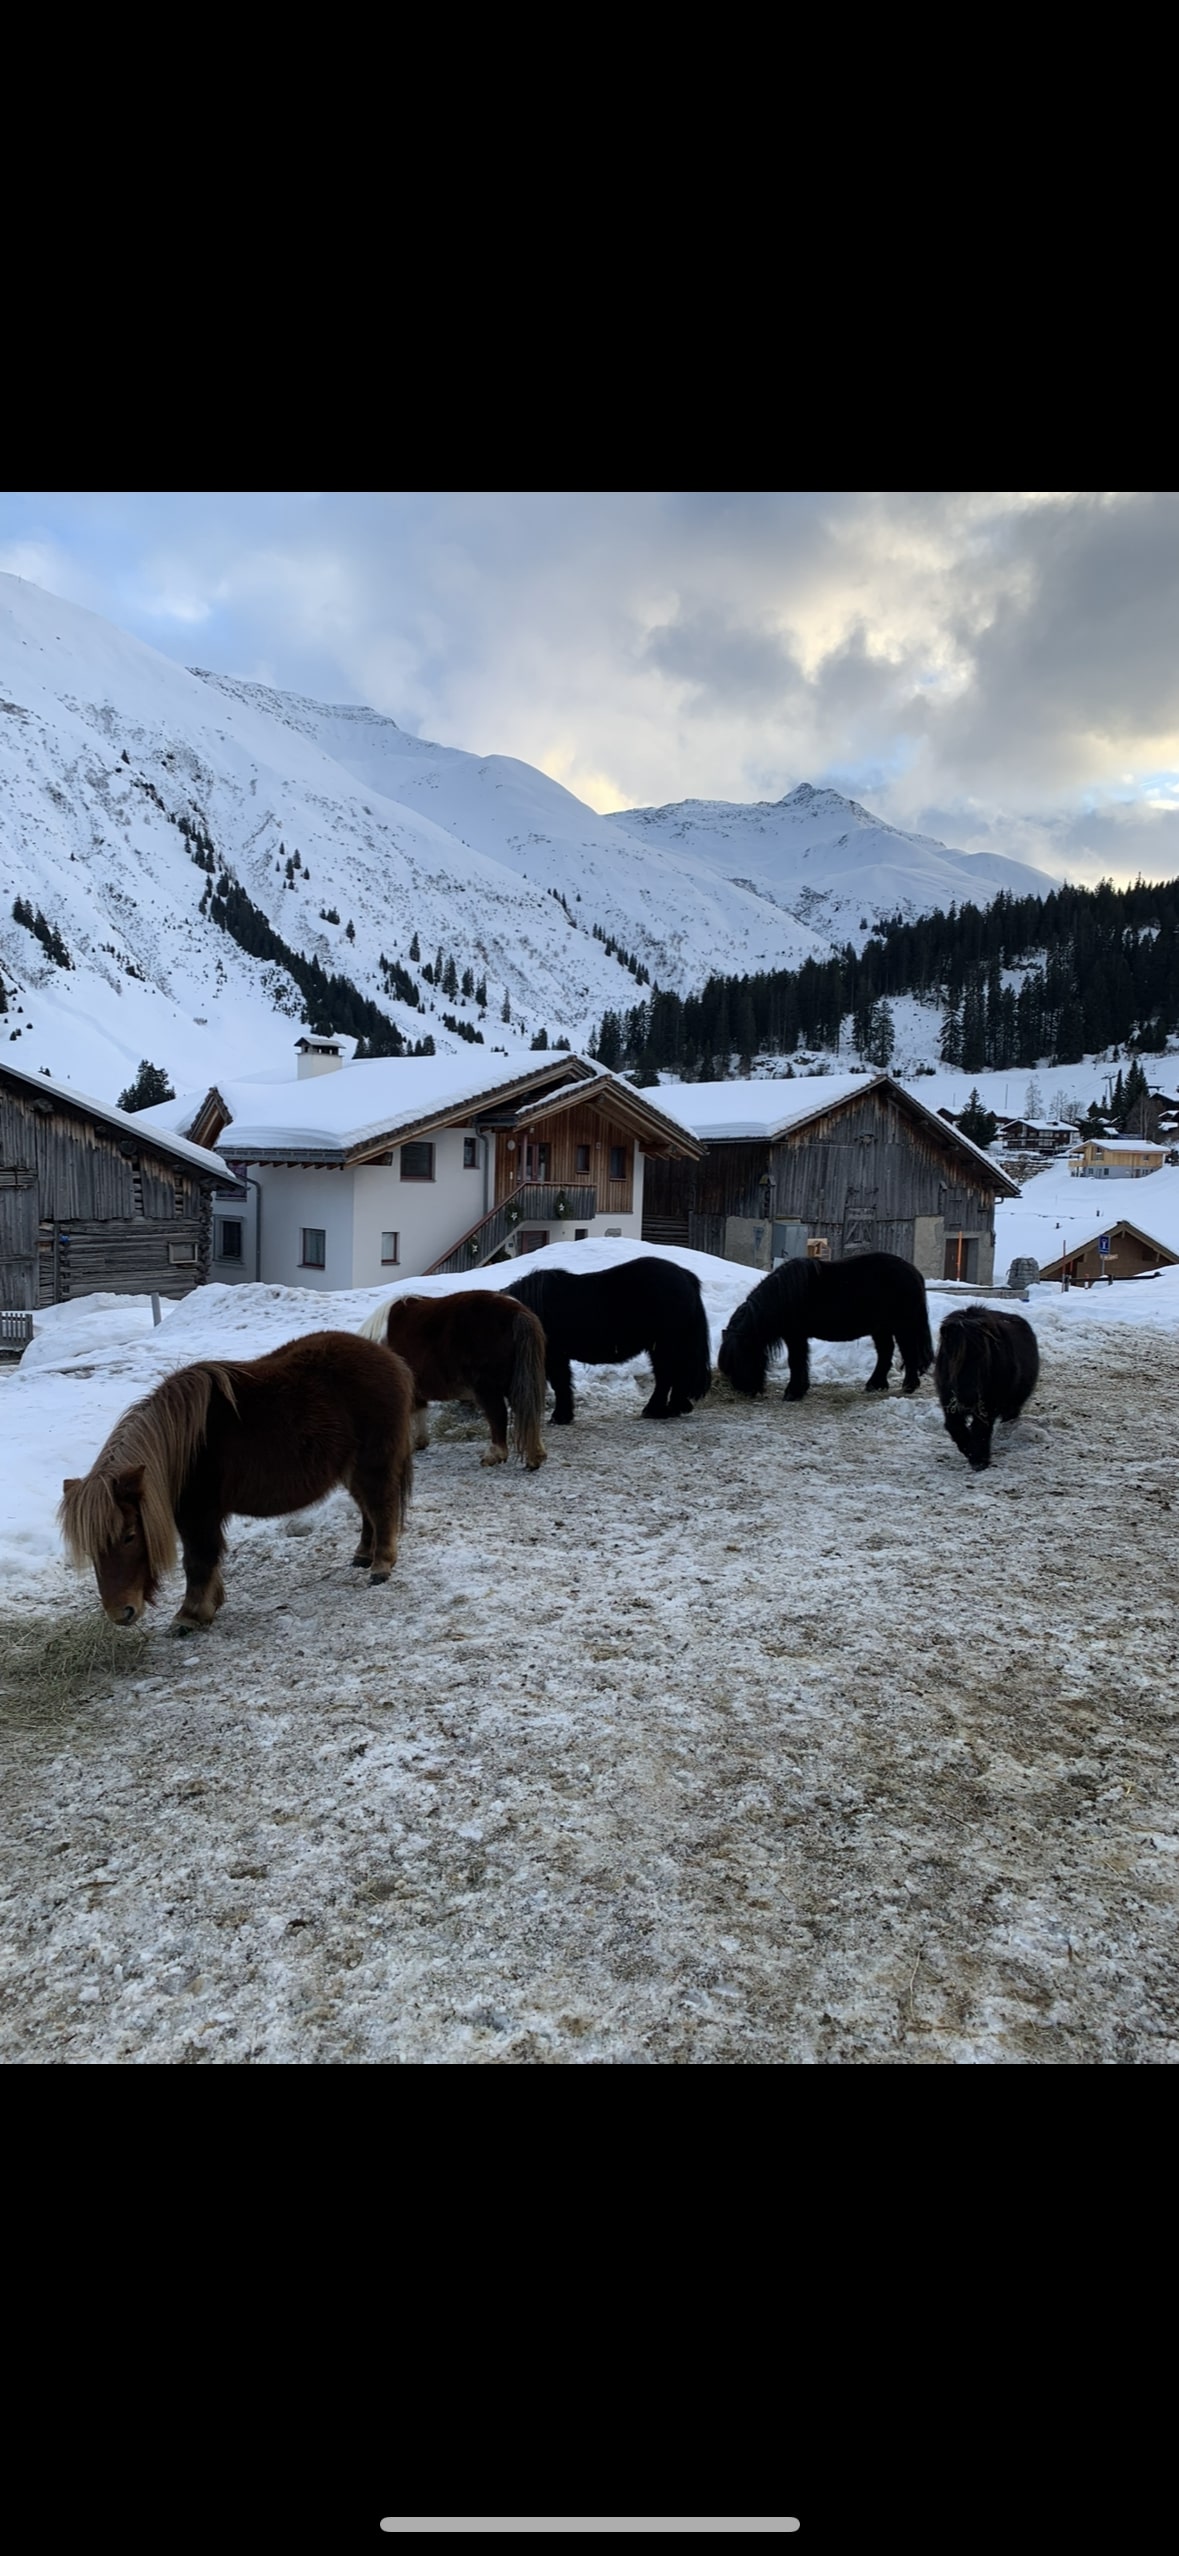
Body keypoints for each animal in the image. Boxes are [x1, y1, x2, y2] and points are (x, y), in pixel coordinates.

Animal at [59, 1331, 418, 1633]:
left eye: (130, 1536)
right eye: (90, 1547)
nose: (121, 1613)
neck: (184, 1448)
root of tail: (388, 1357)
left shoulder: (199, 1514)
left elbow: (198, 1560)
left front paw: (190, 1615)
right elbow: (208, 1559)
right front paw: (208, 1607)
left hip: (374, 1462)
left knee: (381, 1506)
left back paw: (381, 1566)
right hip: (350, 1467)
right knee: (367, 1508)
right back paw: (363, 1555)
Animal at [359, 1289, 548, 1469]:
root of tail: (516, 1310)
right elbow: (419, 1411)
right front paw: (420, 1442)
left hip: (488, 1388)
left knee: (498, 1415)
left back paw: (495, 1455)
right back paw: (535, 1457)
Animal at [502, 1255, 712, 1424]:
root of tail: (685, 1276)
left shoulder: (554, 1356)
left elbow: (560, 1384)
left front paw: (560, 1417)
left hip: (664, 1346)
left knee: (667, 1376)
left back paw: (655, 1410)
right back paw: (674, 1407)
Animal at [717, 1250, 934, 1402]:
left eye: (742, 1358)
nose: (745, 1390)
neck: (783, 1296)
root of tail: (914, 1272)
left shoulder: (795, 1336)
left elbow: (796, 1361)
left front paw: (793, 1393)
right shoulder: (797, 1337)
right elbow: (801, 1361)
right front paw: (800, 1389)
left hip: (902, 1326)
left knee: (908, 1352)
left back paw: (908, 1386)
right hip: (881, 1328)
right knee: (885, 1352)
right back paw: (875, 1385)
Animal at [934, 1304, 1040, 1471]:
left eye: (983, 1356)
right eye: (952, 1357)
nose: (968, 1398)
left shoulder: (990, 1403)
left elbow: (980, 1428)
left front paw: (979, 1459)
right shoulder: (948, 1401)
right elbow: (955, 1427)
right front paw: (969, 1450)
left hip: (1013, 1403)